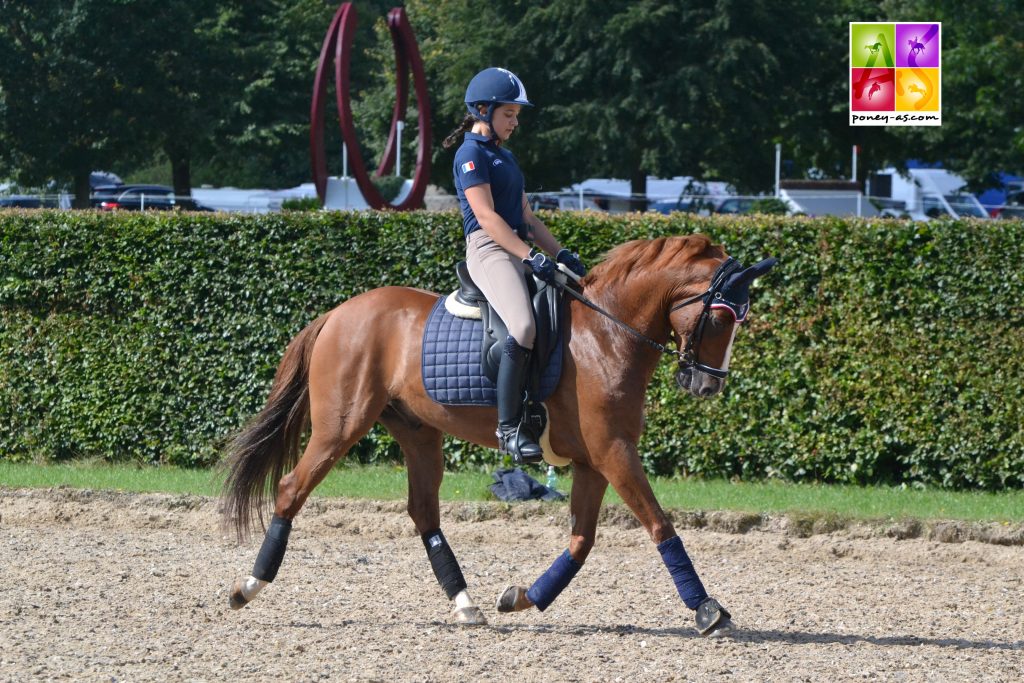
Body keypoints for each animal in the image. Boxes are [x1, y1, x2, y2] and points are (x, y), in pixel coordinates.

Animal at [220, 235, 770, 634]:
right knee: (291, 489)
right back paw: (247, 588)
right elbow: (660, 525)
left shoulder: (593, 461)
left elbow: (582, 542)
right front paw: (708, 610)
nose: (707, 385)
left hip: (419, 434)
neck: (607, 335)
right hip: (340, 426)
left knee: (424, 513)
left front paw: (524, 598)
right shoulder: (614, 452)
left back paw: (466, 604)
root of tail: (338, 312)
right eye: (721, 317)